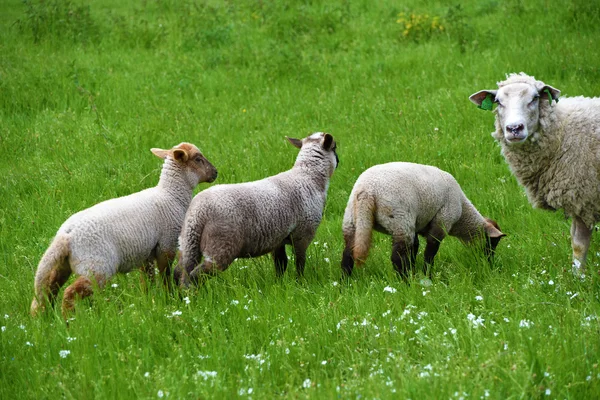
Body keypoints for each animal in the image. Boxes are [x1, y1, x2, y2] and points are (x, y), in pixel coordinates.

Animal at [29, 142, 218, 318]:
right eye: (198, 159)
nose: (215, 172)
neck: (171, 196)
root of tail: (65, 235)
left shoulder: (146, 252)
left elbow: (147, 280)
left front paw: (150, 301)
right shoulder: (166, 244)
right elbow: (165, 275)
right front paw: (169, 297)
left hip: (65, 264)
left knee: (49, 288)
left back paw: (48, 319)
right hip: (97, 266)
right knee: (69, 294)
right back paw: (69, 322)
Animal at [176, 131, 340, 284]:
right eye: (335, 147)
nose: (339, 161)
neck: (308, 176)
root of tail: (199, 211)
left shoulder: (278, 239)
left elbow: (281, 264)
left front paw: (279, 284)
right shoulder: (303, 234)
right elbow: (300, 262)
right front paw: (300, 282)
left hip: (189, 242)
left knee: (181, 271)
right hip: (221, 244)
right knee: (197, 274)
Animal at [340, 162, 504, 278]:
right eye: (492, 243)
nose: (490, 263)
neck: (463, 216)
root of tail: (367, 191)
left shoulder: (417, 225)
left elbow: (415, 248)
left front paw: (414, 271)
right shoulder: (441, 222)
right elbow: (430, 252)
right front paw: (427, 275)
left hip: (351, 221)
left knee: (347, 256)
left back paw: (345, 284)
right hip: (400, 220)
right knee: (397, 258)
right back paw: (405, 282)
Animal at [468, 73, 600, 276]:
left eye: (535, 98)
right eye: (498, 101)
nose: (514, 128)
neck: (562, 134)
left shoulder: (584, 198)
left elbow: (578, 246)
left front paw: (578, 278)